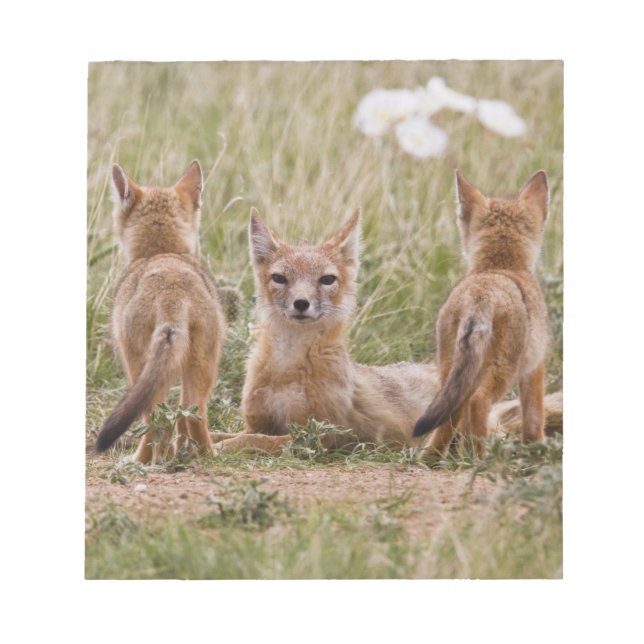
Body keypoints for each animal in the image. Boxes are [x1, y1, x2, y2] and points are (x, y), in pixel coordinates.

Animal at [94, 160, 225, 463]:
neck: (161, 252)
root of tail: (171, 289)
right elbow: (180, 419)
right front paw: (180, 452)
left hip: (138, 366)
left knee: (154, 417)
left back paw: (141, 460)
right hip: (202, 366)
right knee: (192, 412)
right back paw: (204, 456)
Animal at [211, 206, 561, 456]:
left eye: (326, 280)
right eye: (280, 278)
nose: (301, 303)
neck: (287, 369)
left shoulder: (319, 435)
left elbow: (250, 443)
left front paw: (218, 448)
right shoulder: (258, 424)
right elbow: (225, 433)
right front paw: (204, 442)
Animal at [413, 170, 551, 456]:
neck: (500, 267)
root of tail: (481, 294)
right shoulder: (535, 367)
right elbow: (534, 417)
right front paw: (537, 448)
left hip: (450, 371)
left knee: (451, 416)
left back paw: (434, 457)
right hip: (502, 371)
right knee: (478, 402)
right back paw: (480, 456)